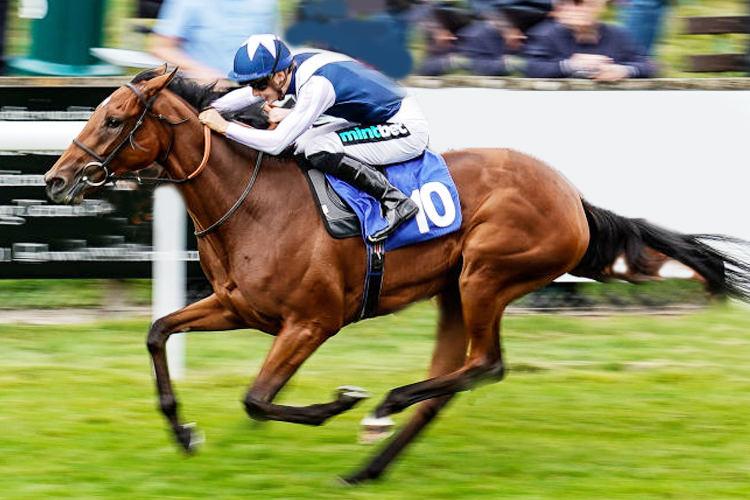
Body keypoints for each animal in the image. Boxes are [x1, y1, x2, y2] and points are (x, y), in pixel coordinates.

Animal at [42, 68, 750, 482]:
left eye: (112, 119)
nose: (54, 180)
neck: (255, 202)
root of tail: (573, 198)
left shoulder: (312, 321)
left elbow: (258, 398)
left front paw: (338, 402)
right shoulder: (239, 307)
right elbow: (159, 333)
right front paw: (185, 432)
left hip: (486, 276)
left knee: (484, 365)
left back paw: (382, 408)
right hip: (455, 291)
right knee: (452, 380)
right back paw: (370, 467)